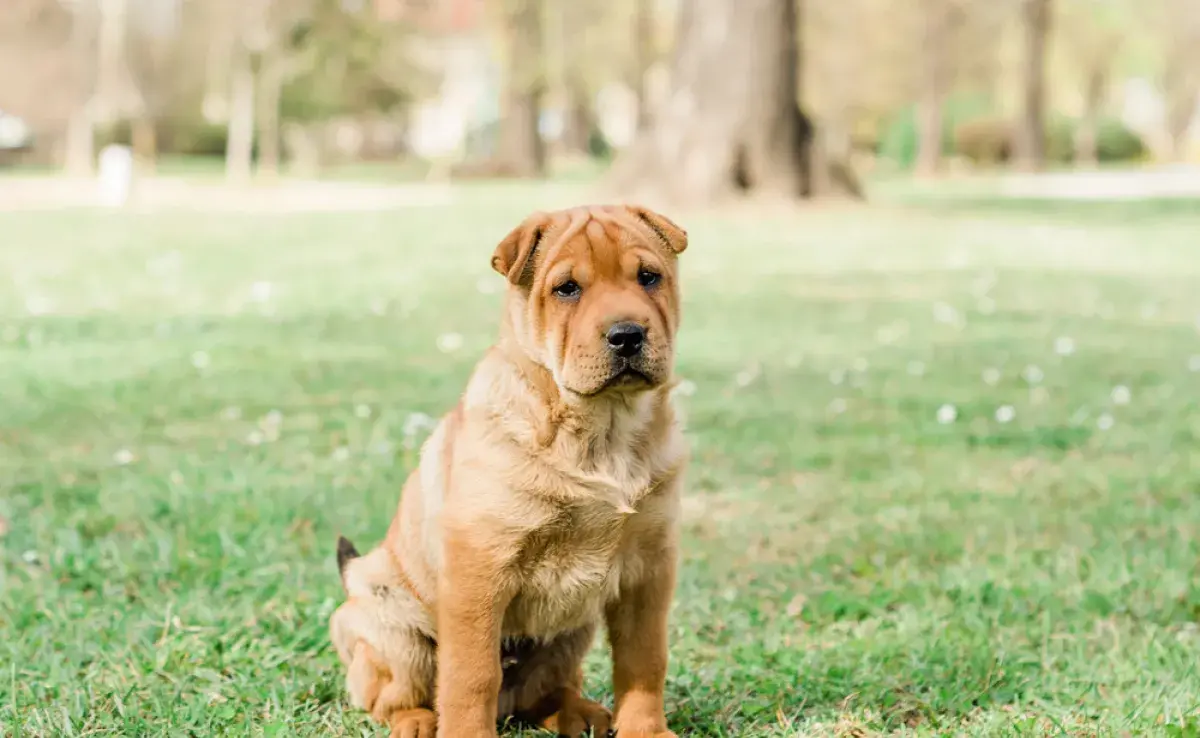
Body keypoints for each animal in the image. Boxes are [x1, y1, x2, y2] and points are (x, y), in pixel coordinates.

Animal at [328, 204, 691, 738]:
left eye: (649, 278)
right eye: (567, 288)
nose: (627, 334)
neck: (602, 430)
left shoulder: (649, 567)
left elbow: (644, 660)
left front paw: (646, 730)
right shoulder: (481, 566)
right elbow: (472, 673)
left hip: (571, 634)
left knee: (540, 694)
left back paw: (578, 712)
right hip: (390, 623)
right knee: (391, 695)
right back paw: (415, 722)